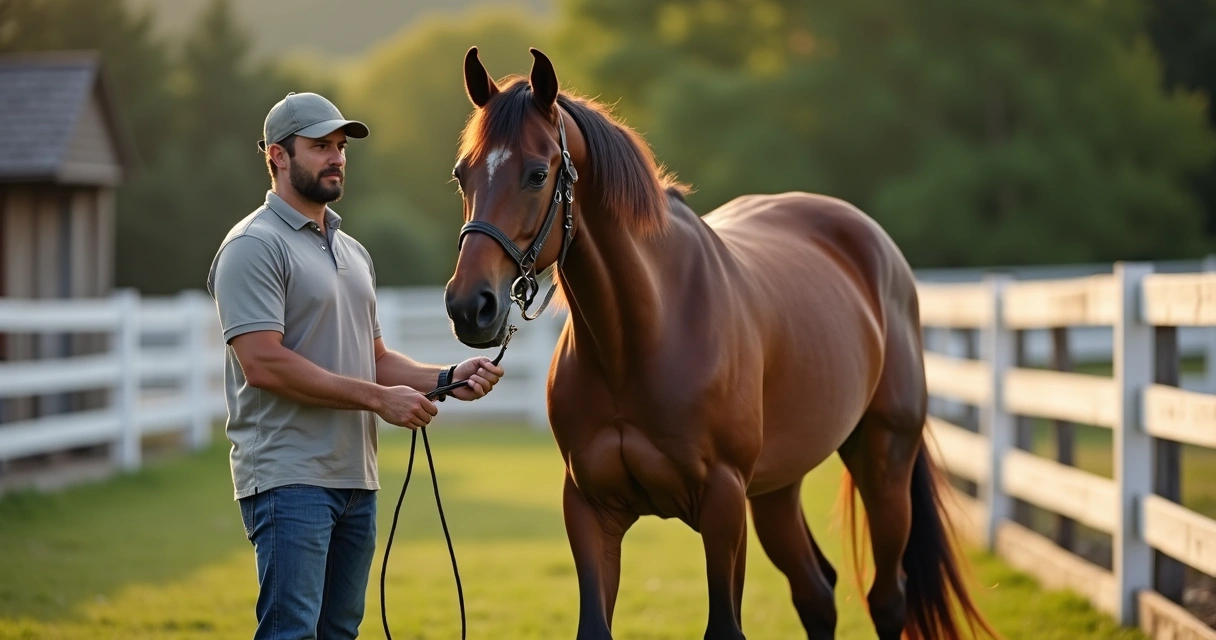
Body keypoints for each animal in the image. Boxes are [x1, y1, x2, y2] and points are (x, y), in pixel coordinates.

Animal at [442, 46, 997, 640]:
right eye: (462, 174)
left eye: (537, 174)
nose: (470, 306)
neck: (639, 339)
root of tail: (877, 248)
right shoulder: (589, 507)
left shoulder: (723, 504)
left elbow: (725, 626)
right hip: (778, 488)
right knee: (817, 593)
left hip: (883, 461)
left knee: (887, 598)